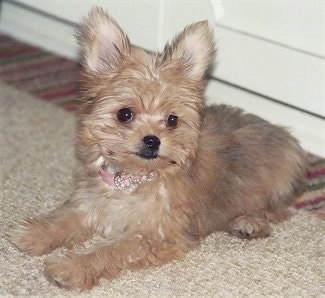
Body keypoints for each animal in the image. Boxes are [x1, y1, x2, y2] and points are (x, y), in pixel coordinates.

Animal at [8, 8, 306, 290]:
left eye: (172, 120)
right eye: (125, 114)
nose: (153, 140)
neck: (132, 180)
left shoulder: (153, 236)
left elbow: (109, 250)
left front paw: (73, 267)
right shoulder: (90, 205)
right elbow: (65, 218)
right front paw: (36, 233)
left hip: (277, 184)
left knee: (276, 211)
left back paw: (248, 223)